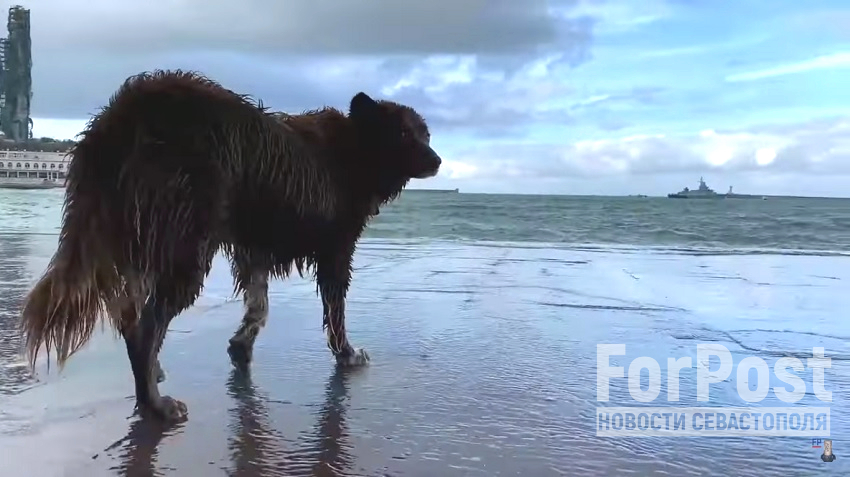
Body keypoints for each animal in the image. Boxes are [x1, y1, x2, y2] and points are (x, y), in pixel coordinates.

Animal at [19, 69, 440, 420]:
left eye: (426, 133)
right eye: (404, 133)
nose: (437, 160)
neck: (354, 150)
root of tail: (131, 110)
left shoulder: (254, 247)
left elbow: (259, 305)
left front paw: (241, 347)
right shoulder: (335, 248)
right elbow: (335, 312)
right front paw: (347, 355)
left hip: (138, 236)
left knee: (132, 316)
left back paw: (153, 374)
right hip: (186, 240)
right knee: (147, 325)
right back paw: (155, 403)